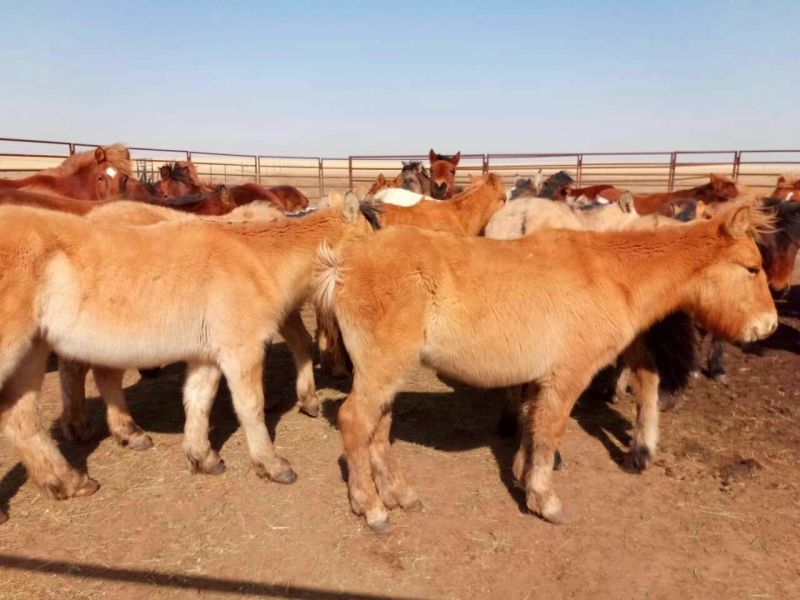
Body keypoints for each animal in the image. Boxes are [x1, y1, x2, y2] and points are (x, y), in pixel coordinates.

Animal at [0, 194, 378, 524]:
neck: (255, 258)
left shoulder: (206, 356)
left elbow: (198, 401)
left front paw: (203, 457)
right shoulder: (240, 351)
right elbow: (250, 407)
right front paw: (272, 465)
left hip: (33, 352)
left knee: (23, 420)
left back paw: (72, 478)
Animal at [313, 204, 776, 532]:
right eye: (752, 268)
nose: (767, 326)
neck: (612, 275)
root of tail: (341, 263)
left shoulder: (539, 378)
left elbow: (533, 426)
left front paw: (523, 475)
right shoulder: (568, 375)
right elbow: (551, 429)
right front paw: (544, 499)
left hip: (386, 372)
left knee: (378, 428)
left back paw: (399, 494)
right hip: (382, 368)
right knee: (355, 421)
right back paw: (371, 508)